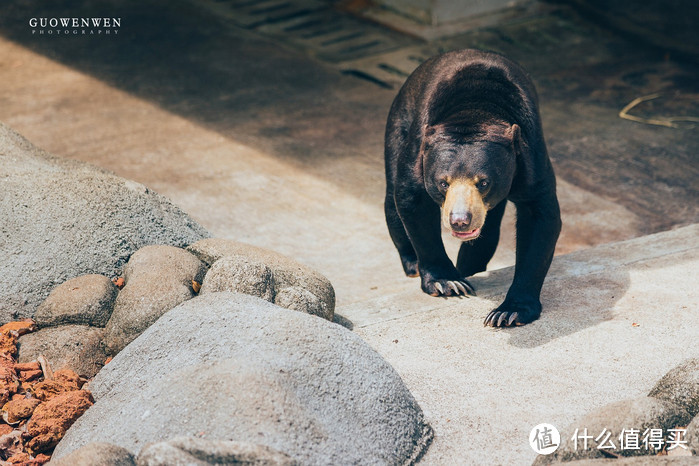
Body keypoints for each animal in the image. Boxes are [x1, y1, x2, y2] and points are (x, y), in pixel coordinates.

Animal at [386, 50, 560, 328]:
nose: (460, 220)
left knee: (488, 233)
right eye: (443, 182)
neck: (475, 111)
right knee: (391, 201)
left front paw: (508, 313)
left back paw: (469, 265)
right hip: (398, 125)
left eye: (484, 182)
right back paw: (413, 263)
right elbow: (412, 199)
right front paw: (448, 283)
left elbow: (539, 217)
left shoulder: (531, 156)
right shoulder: (419, 147)